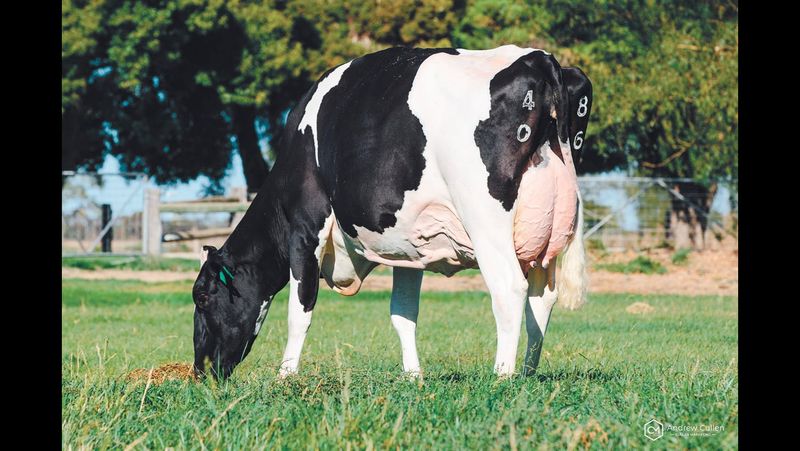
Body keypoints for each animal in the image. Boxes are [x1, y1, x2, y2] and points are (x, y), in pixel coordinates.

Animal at [192, 45, 592, 380]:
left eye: (202, 297)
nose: (200, 370)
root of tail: (537, 58)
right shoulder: (410, 246)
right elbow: (403, 313)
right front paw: (413, 376)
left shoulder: (306, 226)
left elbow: (299, 310)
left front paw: (285, 376)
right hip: (546, 238)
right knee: (542, 299)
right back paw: (527, 373)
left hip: (485, 219)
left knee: (509, 288)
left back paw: (502, 376)